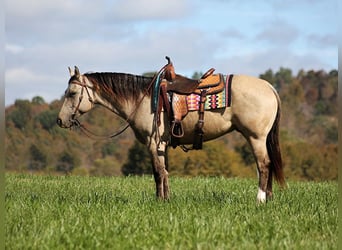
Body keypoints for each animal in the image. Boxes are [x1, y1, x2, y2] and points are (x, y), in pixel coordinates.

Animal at [56, 57, 286, 203]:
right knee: (268, 164)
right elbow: (164, 171)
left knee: (264, 165)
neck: (142, 99)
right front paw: (166, 199)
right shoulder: (161, 145)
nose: (60, 120)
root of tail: (270, 87)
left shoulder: (153, 143)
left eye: (72, 93)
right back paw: (270, 198)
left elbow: (158, 172)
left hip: (255, 137)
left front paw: (160, 201)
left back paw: (260, 199)